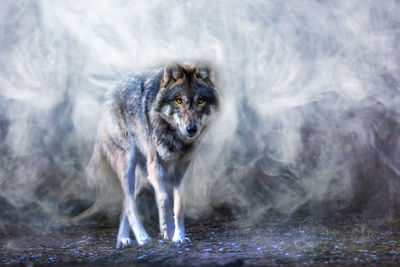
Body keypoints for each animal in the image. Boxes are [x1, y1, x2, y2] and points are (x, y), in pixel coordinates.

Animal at [86, 61, 220, 248]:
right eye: (179, 100)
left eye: (200, 100)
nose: (191, 129)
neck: (174, 137)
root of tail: (109, 92)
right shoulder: (155, 166)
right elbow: (164, 199)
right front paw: (167, 229)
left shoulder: (182, 170)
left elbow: (179, 205)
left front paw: (179, 236)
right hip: (128, 164)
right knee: (129, 203)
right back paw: (142, 237)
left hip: (142, 180)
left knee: (125, 203)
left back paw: (123, 238)